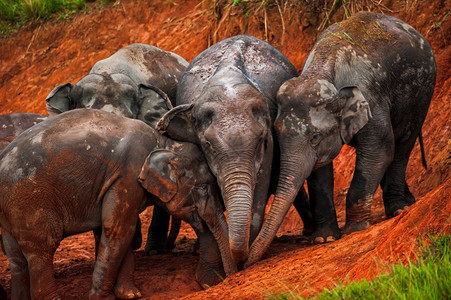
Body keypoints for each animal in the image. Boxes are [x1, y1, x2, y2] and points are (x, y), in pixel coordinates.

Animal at [0, 109, 237, 298]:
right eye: (204, 186)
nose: (228, 279)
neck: (164, 142)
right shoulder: (127, 175)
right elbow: (118, 229)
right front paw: (102, 298)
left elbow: (117, 230)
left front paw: (130, 295)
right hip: (29, 203)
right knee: (41, 250)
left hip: (10, 214)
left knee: (16, 259)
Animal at [247, 11, 438, 266]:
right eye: (276, 134)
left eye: (315, 137)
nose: (245, 261)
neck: (322, 69)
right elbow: (319, 169)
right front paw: (324, 239)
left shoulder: (371, 100)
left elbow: (379, 151)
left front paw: (355, 229)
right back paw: (408, 202)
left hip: (422, 94)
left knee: (401, 147)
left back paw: (399, 209)